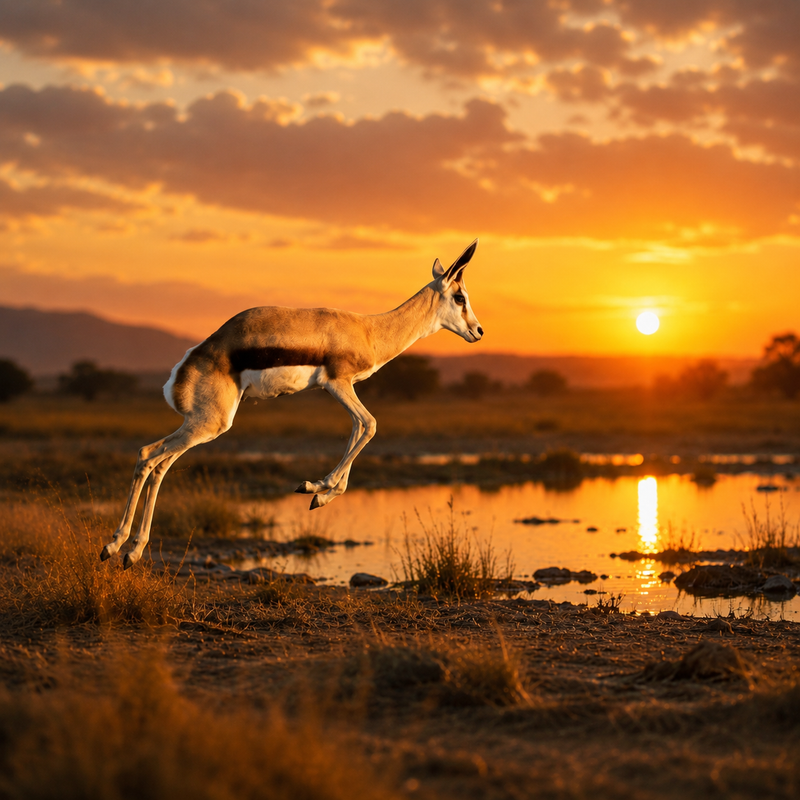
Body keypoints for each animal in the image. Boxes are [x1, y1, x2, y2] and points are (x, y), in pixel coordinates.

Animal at [100, 240, 483, 569]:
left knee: (157, 462)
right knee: (149, 455)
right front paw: (316, 488)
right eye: (459, 296)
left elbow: (357, 430)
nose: (478, 331)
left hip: (199, 426)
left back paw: (124, 549)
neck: (370, 331)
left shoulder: (341, 390)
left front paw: (318, 493)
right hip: (209, 424)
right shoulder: (337, 384)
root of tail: (186, 365)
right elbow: (370, 426)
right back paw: (121, 549)